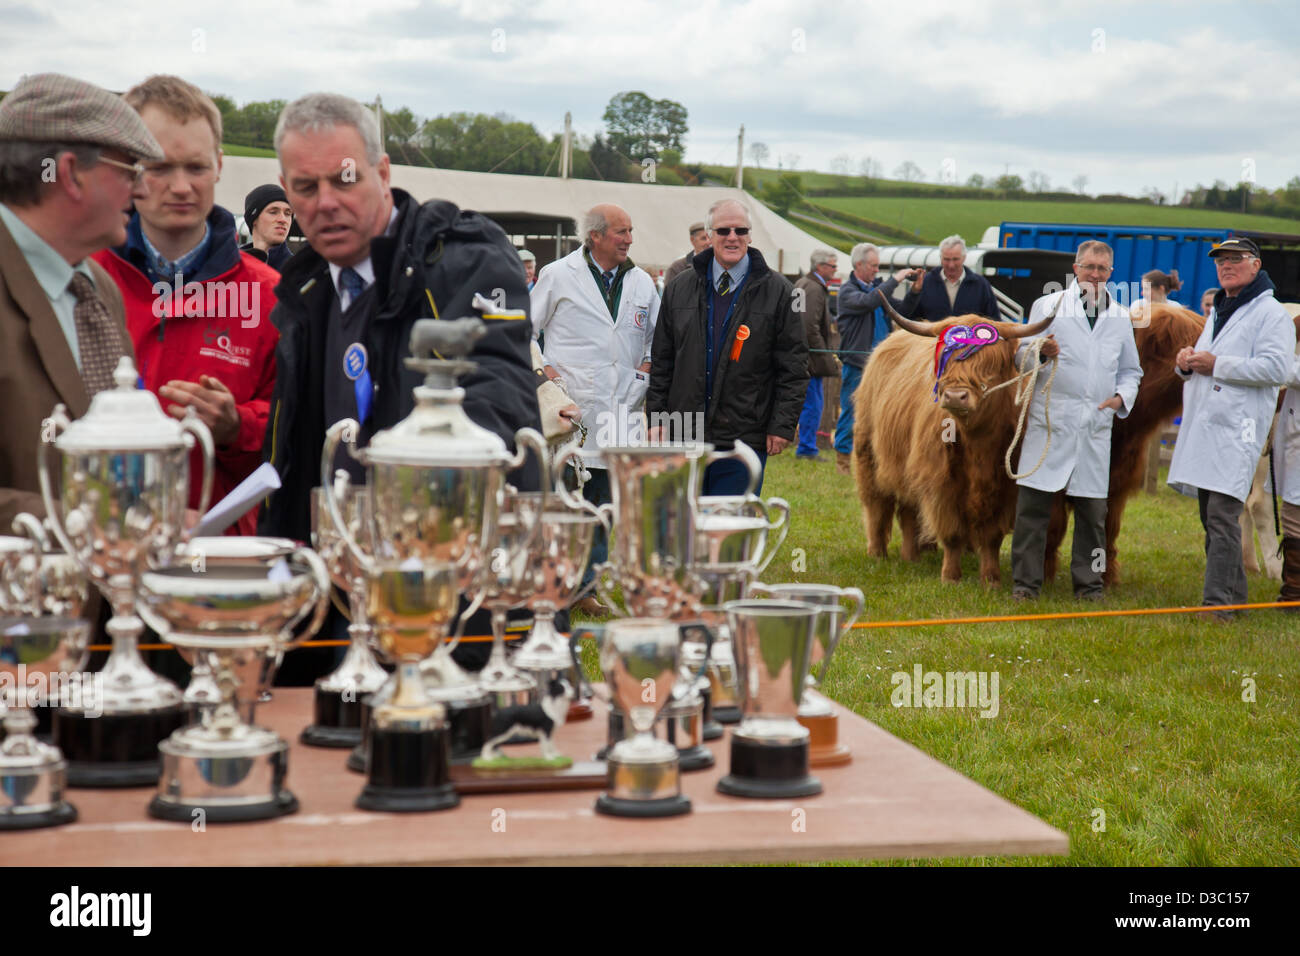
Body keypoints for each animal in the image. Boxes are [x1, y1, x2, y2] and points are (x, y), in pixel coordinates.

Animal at [852, 297, 1055, 582]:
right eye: (945, 363)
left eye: (990, 366)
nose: (955, 396)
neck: (978, 444)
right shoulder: (940, 481)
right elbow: (952, 532)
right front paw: (950, 576)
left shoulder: (1006, 488)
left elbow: (992, 536)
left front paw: (990, 578)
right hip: (868, 453)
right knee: (877, 504)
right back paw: (878, 553)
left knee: (908, 512)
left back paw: (911, 556)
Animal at [1040, 303, 1201, 587]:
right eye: (1167, 341)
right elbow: (1054, 525)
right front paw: (1046, 572)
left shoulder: (1116, 484)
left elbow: (1108, 528)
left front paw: (1108, 576)